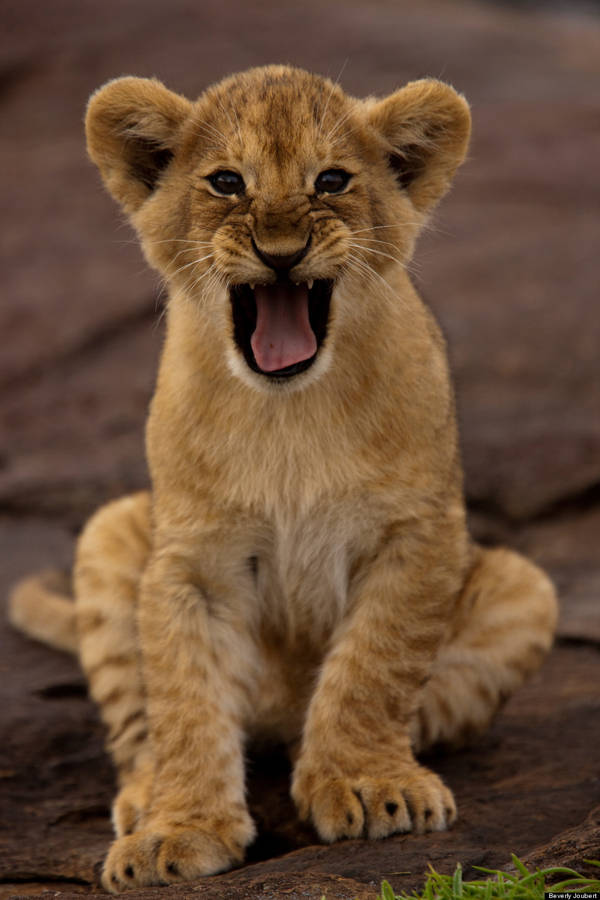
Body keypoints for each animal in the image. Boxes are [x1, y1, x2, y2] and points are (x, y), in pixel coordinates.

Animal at [9, 65, 557, 892]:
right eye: (227, 183)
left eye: (331, 181)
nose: (280, 252)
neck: (287, 414)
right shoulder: (190, 565)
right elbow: (187, 702)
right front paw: (178, 827)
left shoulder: (419, 535)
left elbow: (373, 666)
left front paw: (367, 783)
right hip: (108, 534)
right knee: (144, 727)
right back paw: (144, 798)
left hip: (525, 589)